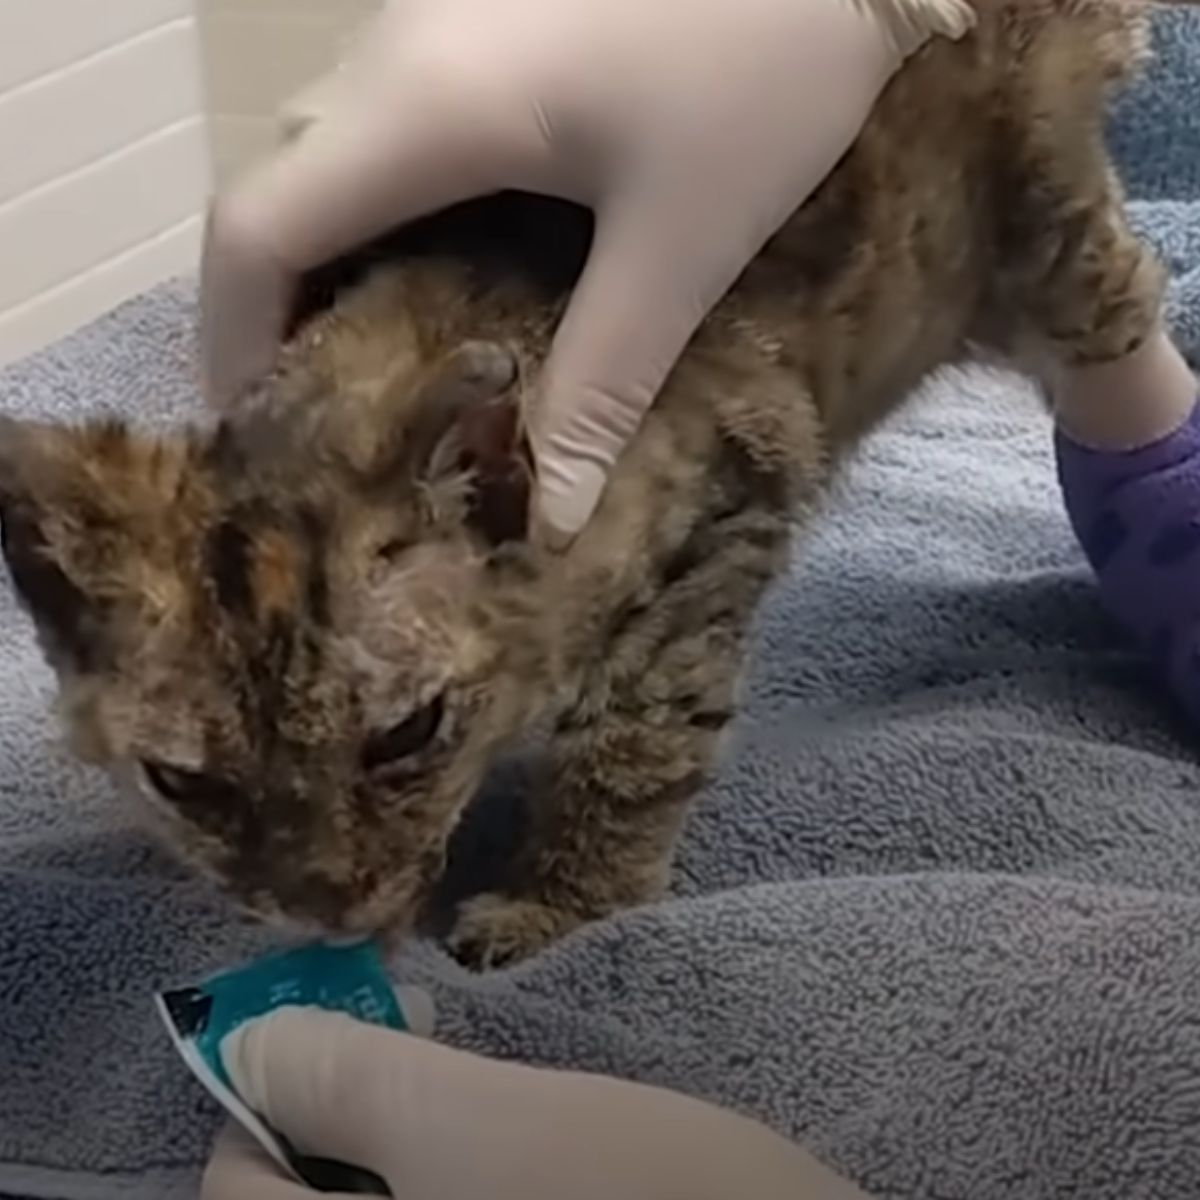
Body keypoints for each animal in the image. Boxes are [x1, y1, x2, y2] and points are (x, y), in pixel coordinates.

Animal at [0, 0, 1171, 964]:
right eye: (185, 785)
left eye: (407, 734)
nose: (324, 910)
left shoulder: (718, 523)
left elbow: (637, 741)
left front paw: (562, 900)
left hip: (1044, 235)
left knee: (1123, 304)